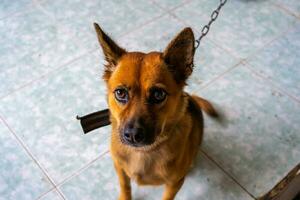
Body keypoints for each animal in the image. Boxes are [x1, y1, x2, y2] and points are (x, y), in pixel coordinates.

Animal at [94, 22, 218, 200]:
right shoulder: (120, 169)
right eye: (120, 93)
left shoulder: (175, 183)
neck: (144, 151)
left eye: (159, 94)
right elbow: (125, 186)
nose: (133, 135)